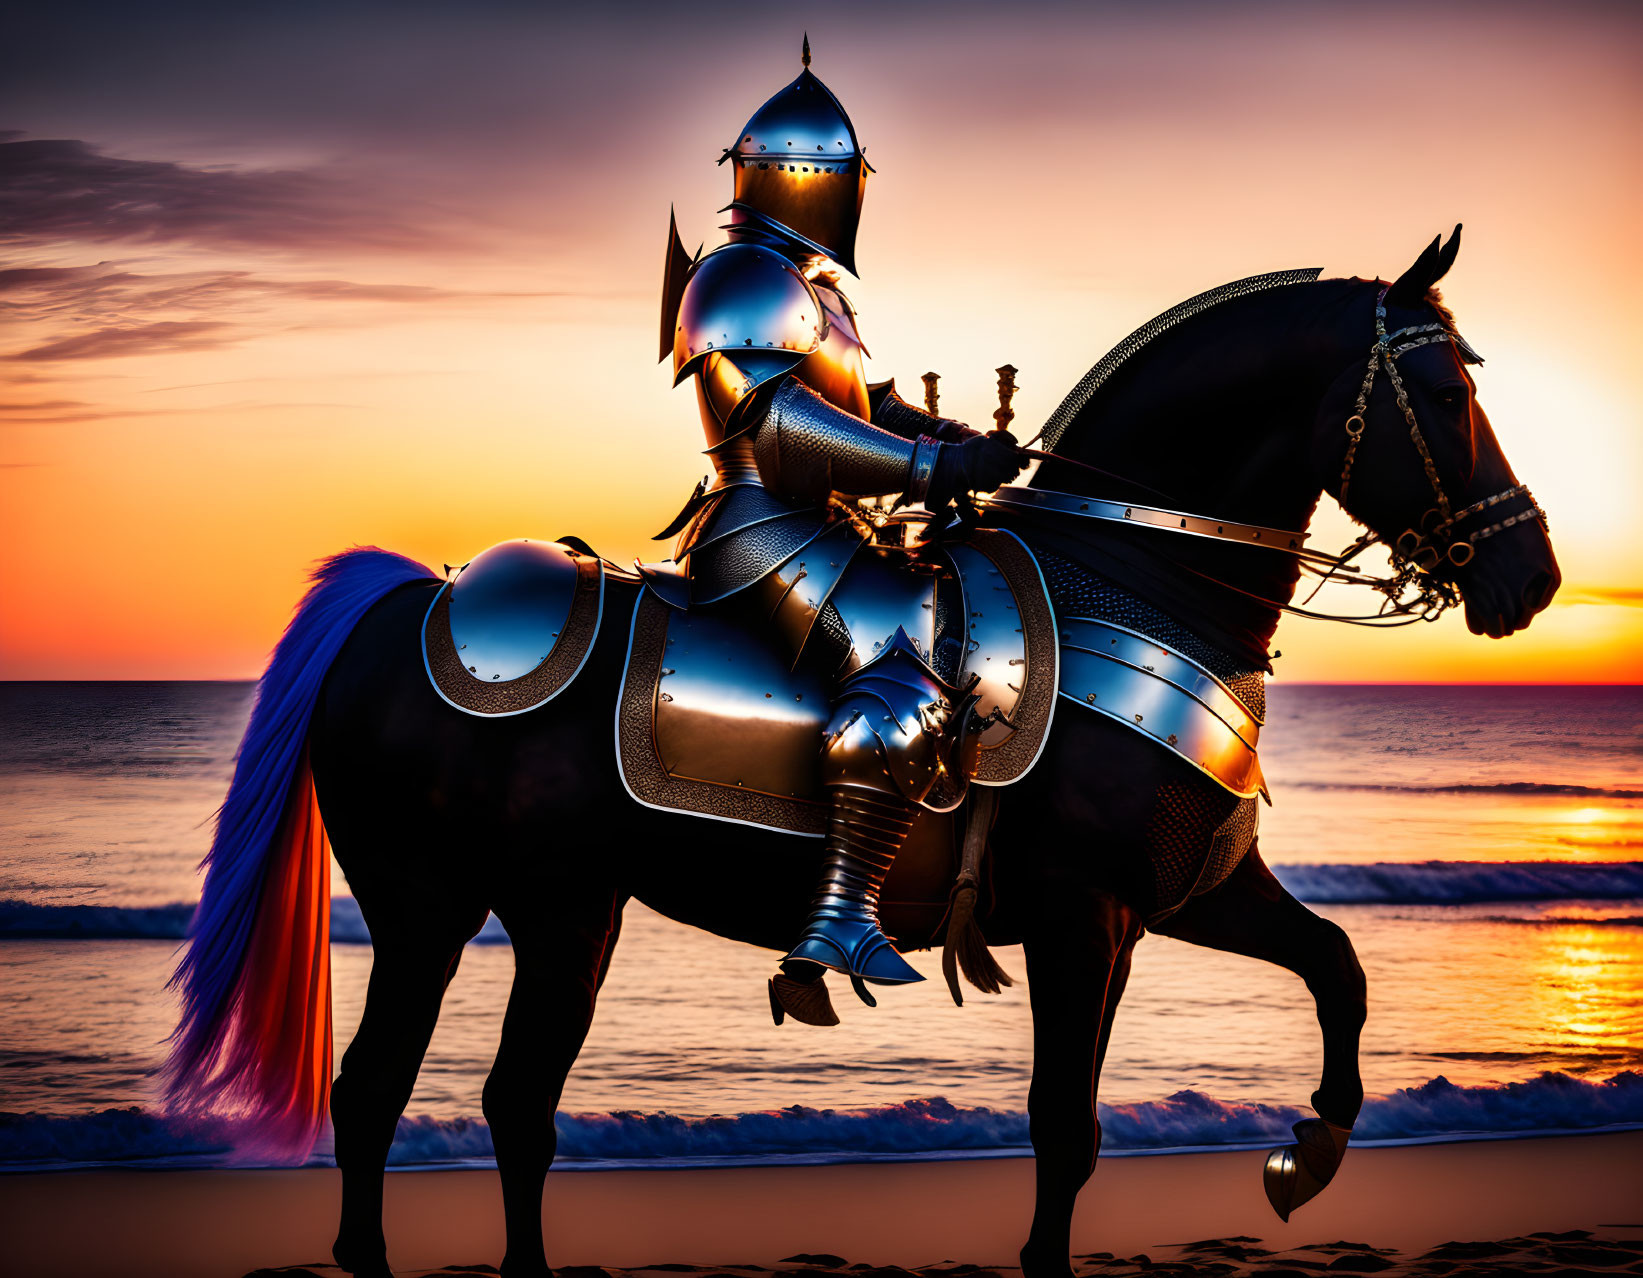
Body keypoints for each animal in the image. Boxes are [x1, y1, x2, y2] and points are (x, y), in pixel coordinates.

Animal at [170, 231, 1564, 1274]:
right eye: (1446, 394)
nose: (1529, 577)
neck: (1134, 578)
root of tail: (419, 601)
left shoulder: (1185, 895)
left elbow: (1336, 970)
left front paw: (1305, 1155)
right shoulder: (1084, 916)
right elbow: (1065, 1127)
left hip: (554, 908)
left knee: (475, 1103)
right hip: (469, 906)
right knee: (414, 1093)